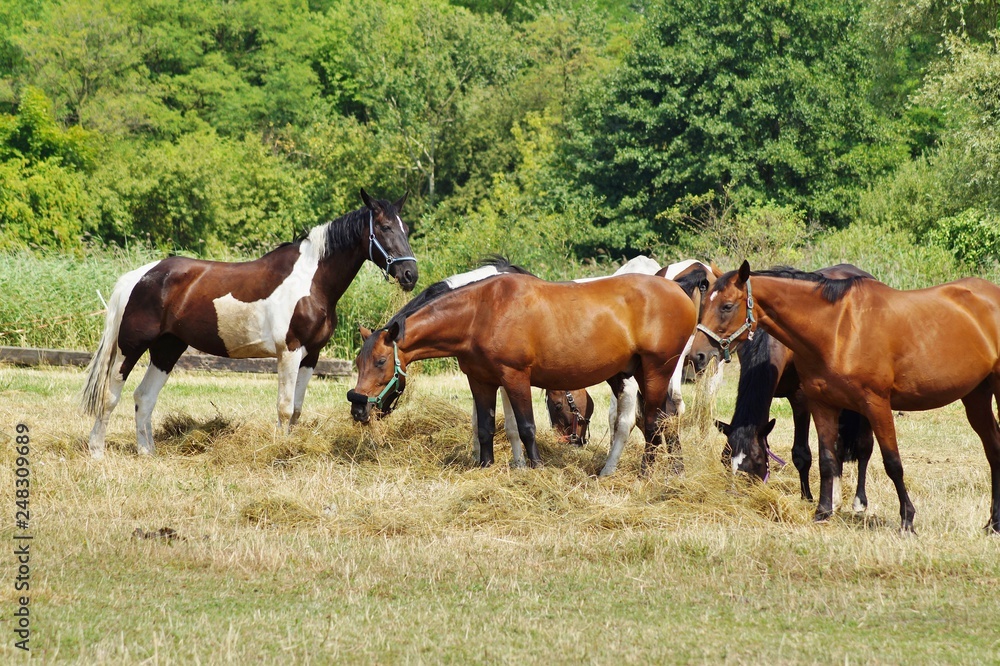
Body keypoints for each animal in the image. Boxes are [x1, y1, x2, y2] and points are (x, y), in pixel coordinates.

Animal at [81, 190, 417, 459]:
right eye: (385, 227)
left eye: (406, 228)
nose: (410, 274)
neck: (311, 282)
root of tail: (140, 276)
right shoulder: (290, 352)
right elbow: (284, 406)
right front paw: (279, 450)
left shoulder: (312, 355)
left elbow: (296, 409)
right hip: (131, 347)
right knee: (111, 394)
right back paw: (97, 450)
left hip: (167, 350)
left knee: (144, 397)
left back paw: (146, 452)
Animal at [349, 263, 697, 472]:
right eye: (357, 362)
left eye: (381, 361)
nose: (358, 408)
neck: (481, 312)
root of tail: (678, 288)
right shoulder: (481, 381)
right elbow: (486, 426)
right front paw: (485, 466)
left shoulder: (515, 377)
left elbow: (526, 427)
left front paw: (535, 467)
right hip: (638, 373)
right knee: (664, 417)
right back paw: (674, 468)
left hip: (655, 371)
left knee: (652, 420)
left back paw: (645, 471)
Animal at [692, 261, 1000, 533]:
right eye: (725, 459)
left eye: (727, 306)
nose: (698, 355)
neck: (838, 329)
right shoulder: (822, 403)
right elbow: (827, 459)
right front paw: (822, 512)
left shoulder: (875, 404)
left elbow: (892, 463)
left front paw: (907, 520)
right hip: (976, 396)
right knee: (993, 448)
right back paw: (992, 524)